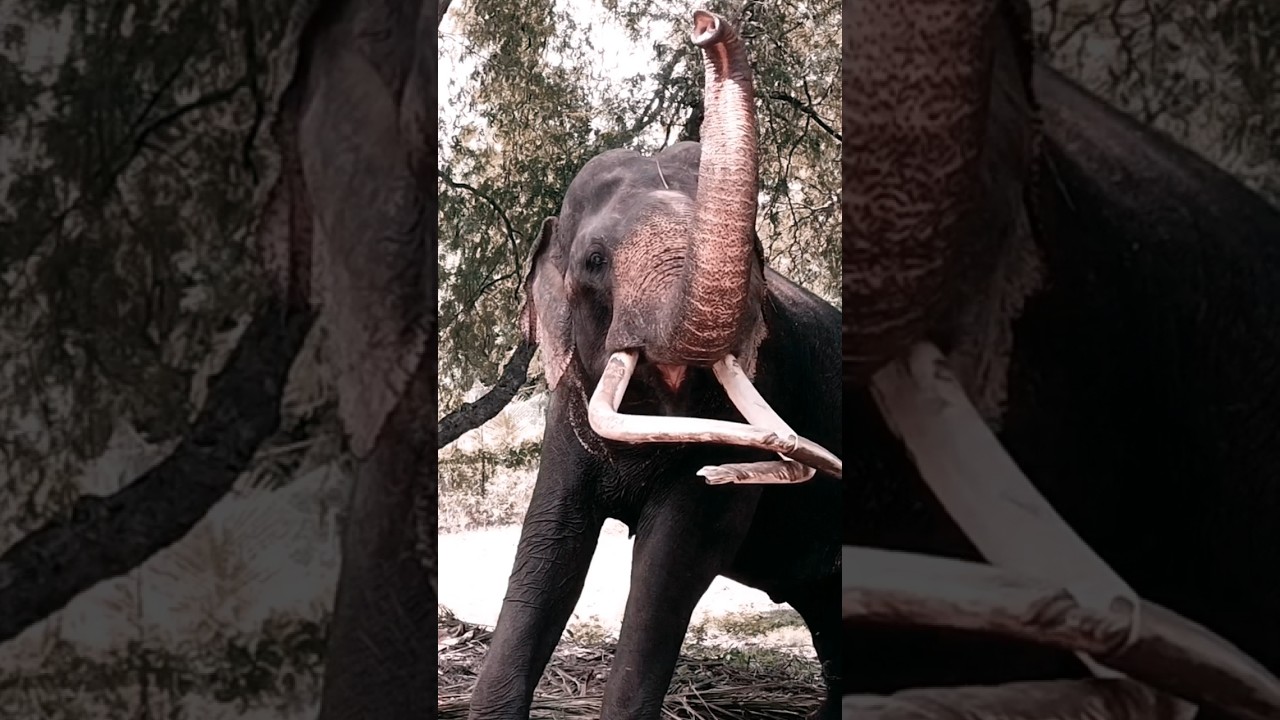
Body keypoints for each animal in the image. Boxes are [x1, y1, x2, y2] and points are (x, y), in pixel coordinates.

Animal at [467, 11, 843, 720]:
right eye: (593, 261)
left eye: (755, 251)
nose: (705, 23)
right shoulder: (567, 410)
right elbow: (548, 546)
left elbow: (674, 556)